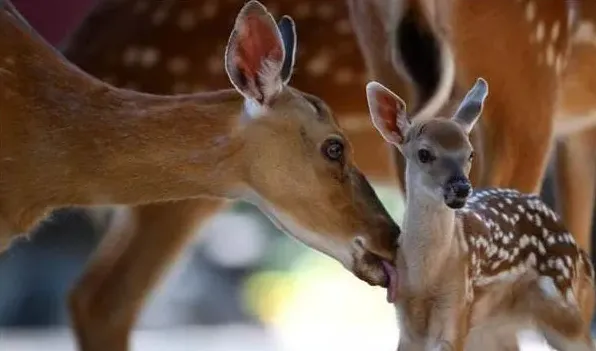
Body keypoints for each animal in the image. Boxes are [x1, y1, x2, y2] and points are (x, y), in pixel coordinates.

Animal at [368, 78, 596, 350]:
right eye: (424, 153)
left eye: (470, 153)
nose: (461, 187)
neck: (426, 281)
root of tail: (580, 254)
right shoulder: (407, 321)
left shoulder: (458, 306)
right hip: (494, 327)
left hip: (564, 306)